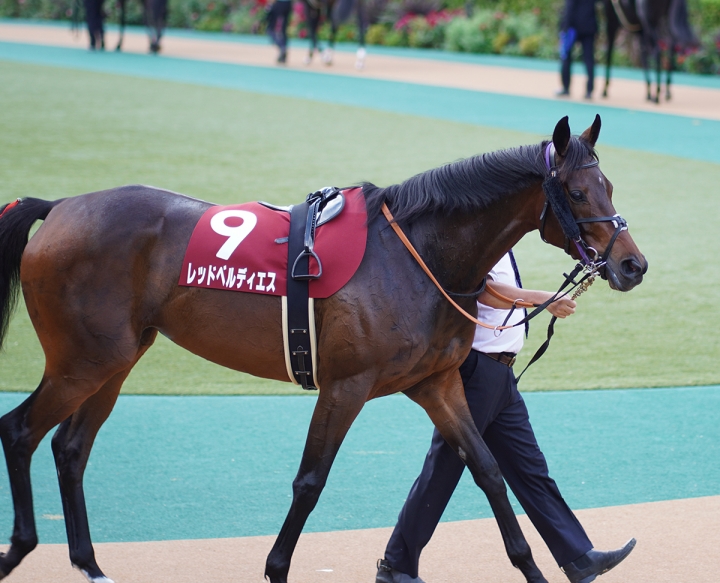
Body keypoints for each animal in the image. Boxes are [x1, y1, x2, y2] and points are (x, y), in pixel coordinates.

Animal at [0, 115, 644, 583]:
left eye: (610, 186)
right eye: (579, 192)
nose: (633, 265)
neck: (416, 257)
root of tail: (60, 207)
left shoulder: (437, 384)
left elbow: (486, 469)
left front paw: (538, 567)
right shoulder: (345, 386)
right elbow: (310, 480)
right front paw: (276, 568)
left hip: (115, 359)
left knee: (70, 447)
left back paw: (88, 563)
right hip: (82, 361)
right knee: (20, 430)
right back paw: (21, 546)